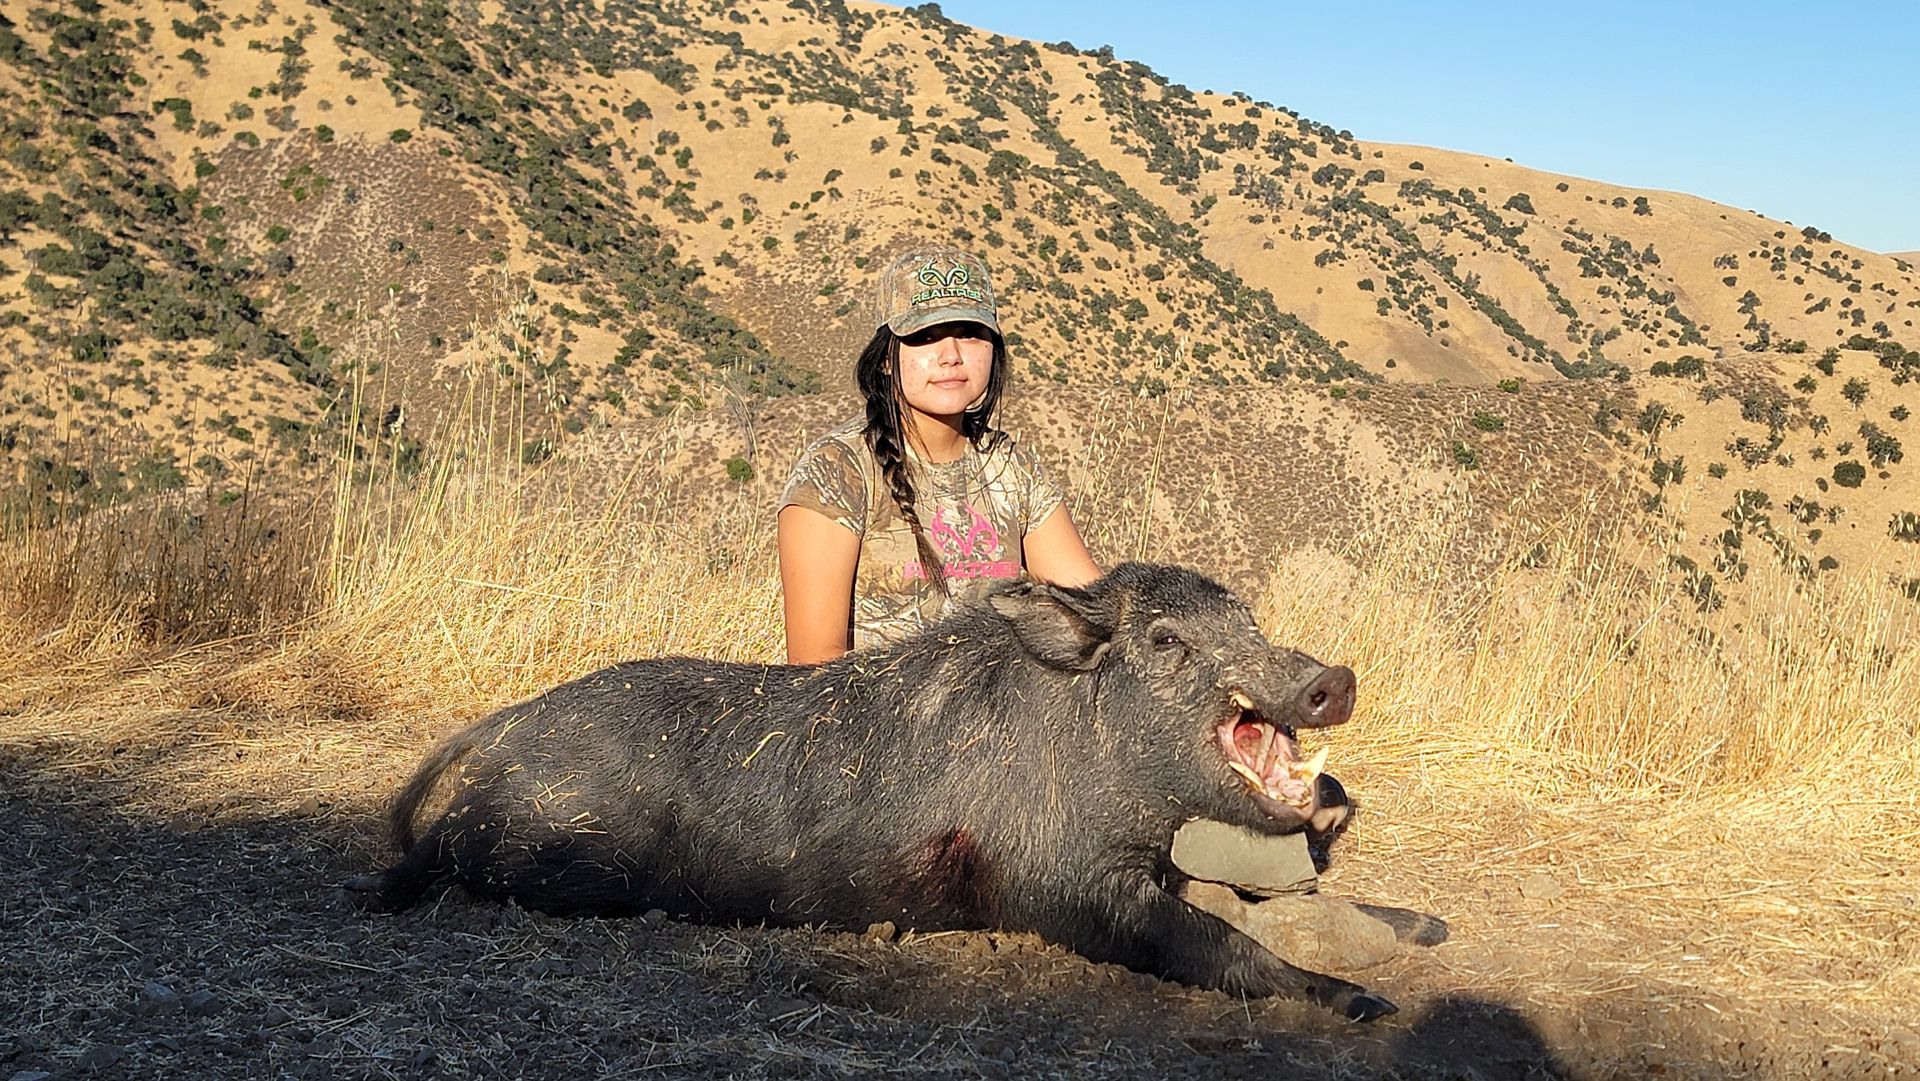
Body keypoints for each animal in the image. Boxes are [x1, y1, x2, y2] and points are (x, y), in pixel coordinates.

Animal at [344, 562, 1394, 1021]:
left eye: (1250, 617)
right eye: (1168, 639)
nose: (1333, 676)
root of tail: (498, 728)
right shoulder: (1059, 886)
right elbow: (1209, 938)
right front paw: (1363, 1003)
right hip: (545, 847)